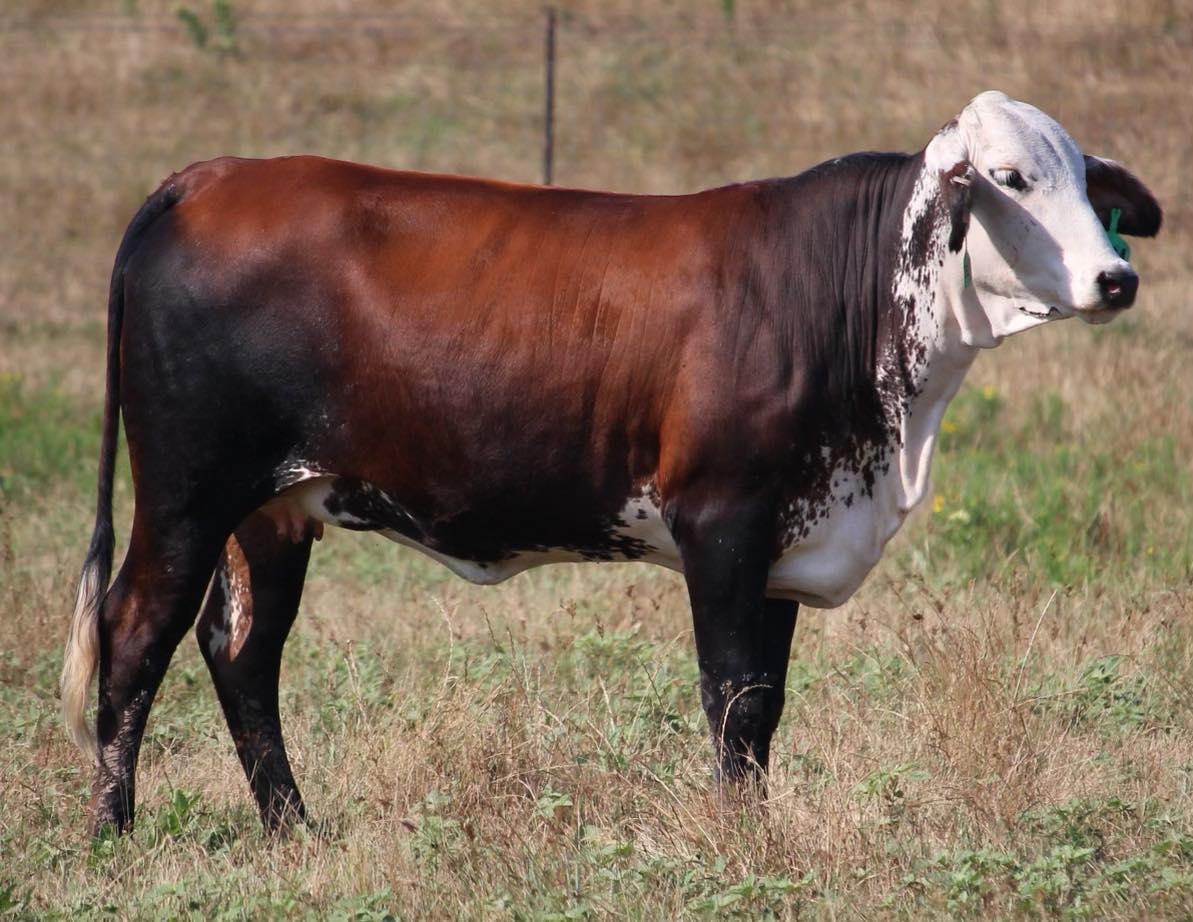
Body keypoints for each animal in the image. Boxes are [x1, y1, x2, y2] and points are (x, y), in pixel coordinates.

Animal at [60, 91, 1159, 834]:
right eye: (1009, 179)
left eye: (1085, 183)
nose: (1116, 278)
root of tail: (211, 175)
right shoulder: (721, 521)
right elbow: (730, 697)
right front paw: (735, 843)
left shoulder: (788, 541)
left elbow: (764, 710)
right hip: (186, 491)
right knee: (134, 636)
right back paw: (115, 833)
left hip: (274, 509)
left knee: (242, 652)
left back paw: (295, 831)